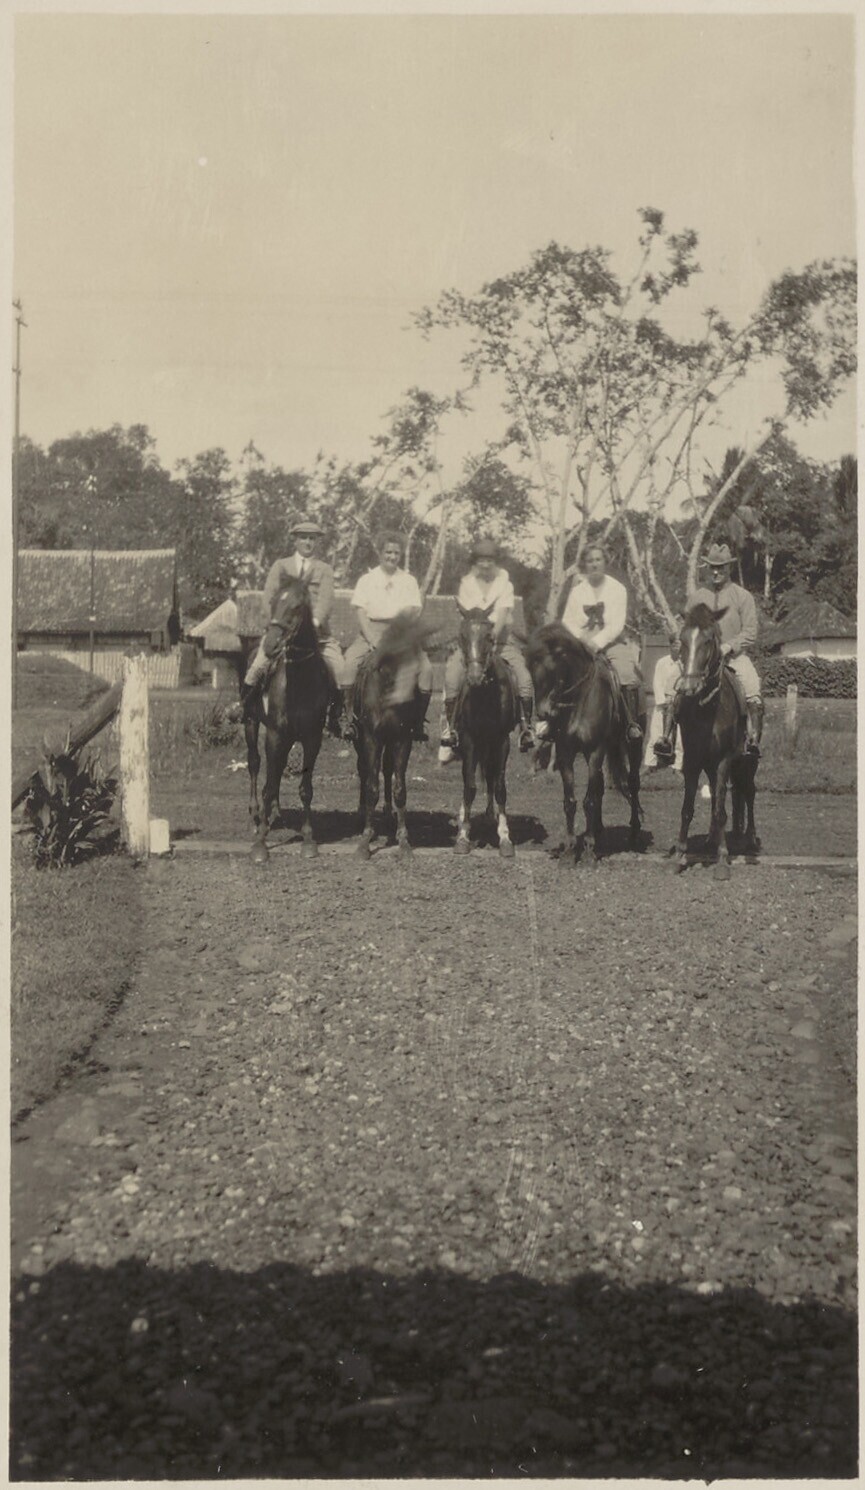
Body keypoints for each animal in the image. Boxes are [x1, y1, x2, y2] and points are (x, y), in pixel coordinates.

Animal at [245, 577, 330, 864]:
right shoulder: (274, 735)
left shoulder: (312, 739)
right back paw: (256, 815)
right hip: (251, 724)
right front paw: (260, 845)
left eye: (296, 606)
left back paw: (273, 813)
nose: (270, 645)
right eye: (272, 603)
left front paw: (308, 840)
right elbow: (268, 785)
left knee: (277, 769)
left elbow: (306, 788)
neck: (299, 683)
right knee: (254, 764)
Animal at [352, 611, 433, 859]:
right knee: (365, 770)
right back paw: (362, 813)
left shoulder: (401, 739)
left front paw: (403, 841)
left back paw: (388, 813)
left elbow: (400, 788)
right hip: (361, 740)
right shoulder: (371, 738)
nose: (405, 697)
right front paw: (365, 841)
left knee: (387, 770)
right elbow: (371, 786)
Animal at [451, 603, 518, 858]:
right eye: (462, 636)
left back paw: (491, 815)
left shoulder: (501, 741)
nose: (474, 677)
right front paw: (463, 837)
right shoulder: (469, 740)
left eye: (489, 636)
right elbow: (469, 787)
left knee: (490, 778)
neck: (486, 695)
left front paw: (505, 838)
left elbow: (499, 787)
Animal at [525, 623, 643, 862]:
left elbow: (589, 801)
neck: (579, 702)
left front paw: (588, 850)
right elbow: (571, 801)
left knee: (633, 784)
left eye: (552, 669)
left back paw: (634, 832)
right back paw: (597, 830)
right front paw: (571, 849)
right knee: (600, 787)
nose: (543, 712)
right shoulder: (565, 752)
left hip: (631, 747)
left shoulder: (595, 751)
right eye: (531, 668)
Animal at [673, 602, 759, 870]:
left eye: (709, 640)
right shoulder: (692, 760)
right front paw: (681, 854)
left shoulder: (723, 760)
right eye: (682, 639)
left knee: (749, 792)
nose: (688, 687)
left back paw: (750, 838)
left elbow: (722, 811)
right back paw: (712, 838)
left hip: (747, 763)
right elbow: (687, 808)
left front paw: (722, 858)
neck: (706, 709)